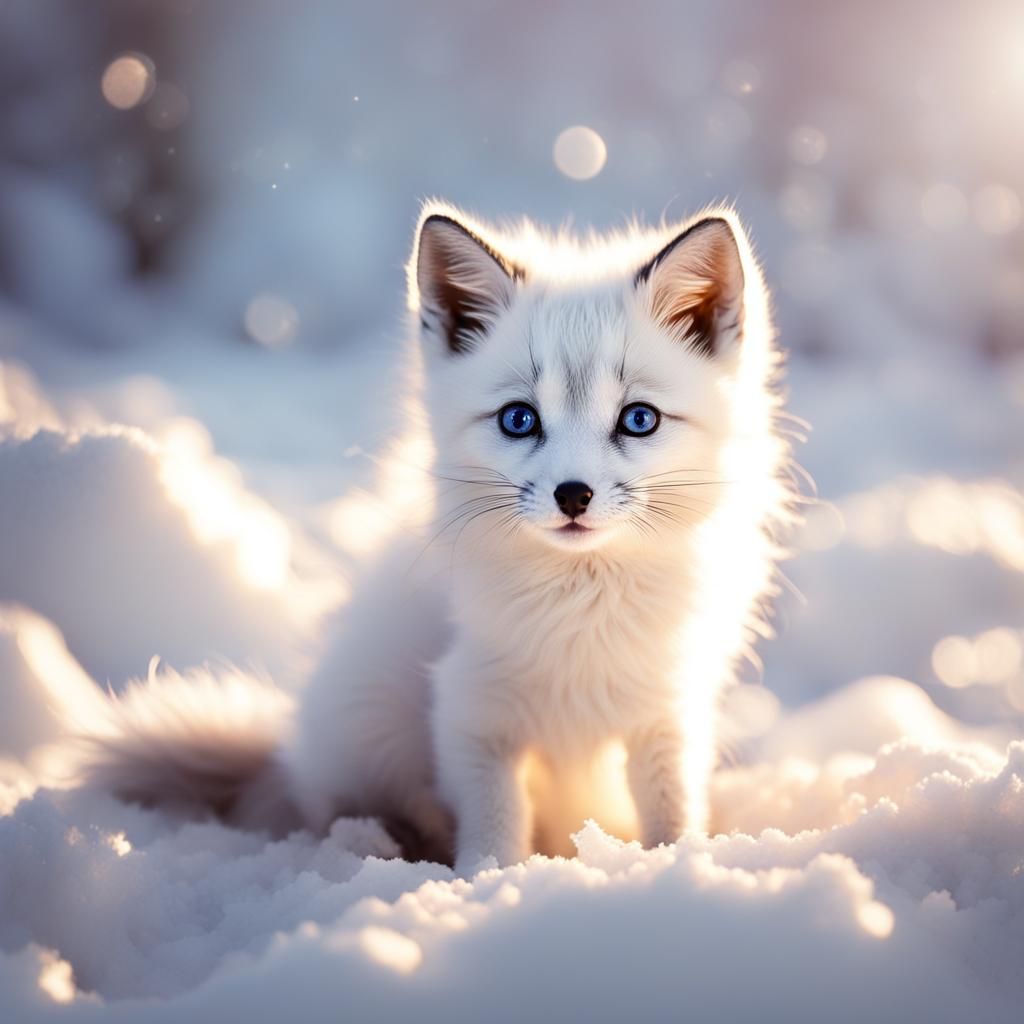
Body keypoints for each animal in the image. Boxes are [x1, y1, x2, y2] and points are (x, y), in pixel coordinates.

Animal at [73, 201, 794, 872]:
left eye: (639, 419)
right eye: (519, 419)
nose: (573, 495)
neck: (580, 618)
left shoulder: (665, 714)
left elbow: (671, 812)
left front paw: (678, 865)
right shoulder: (470, 711)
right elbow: (497, 823)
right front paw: (487, 884)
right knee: (339, 812)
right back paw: (373, 842)